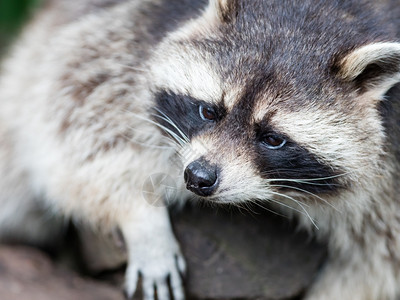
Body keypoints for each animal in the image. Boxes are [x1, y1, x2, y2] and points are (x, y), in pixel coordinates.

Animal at [0, 0, 400, 298]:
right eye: (208, 111)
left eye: (272, 138)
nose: (198, 177)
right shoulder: (128, 31)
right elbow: (74, 115)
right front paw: (142, 219)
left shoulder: (391, 169)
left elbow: (375, 266)